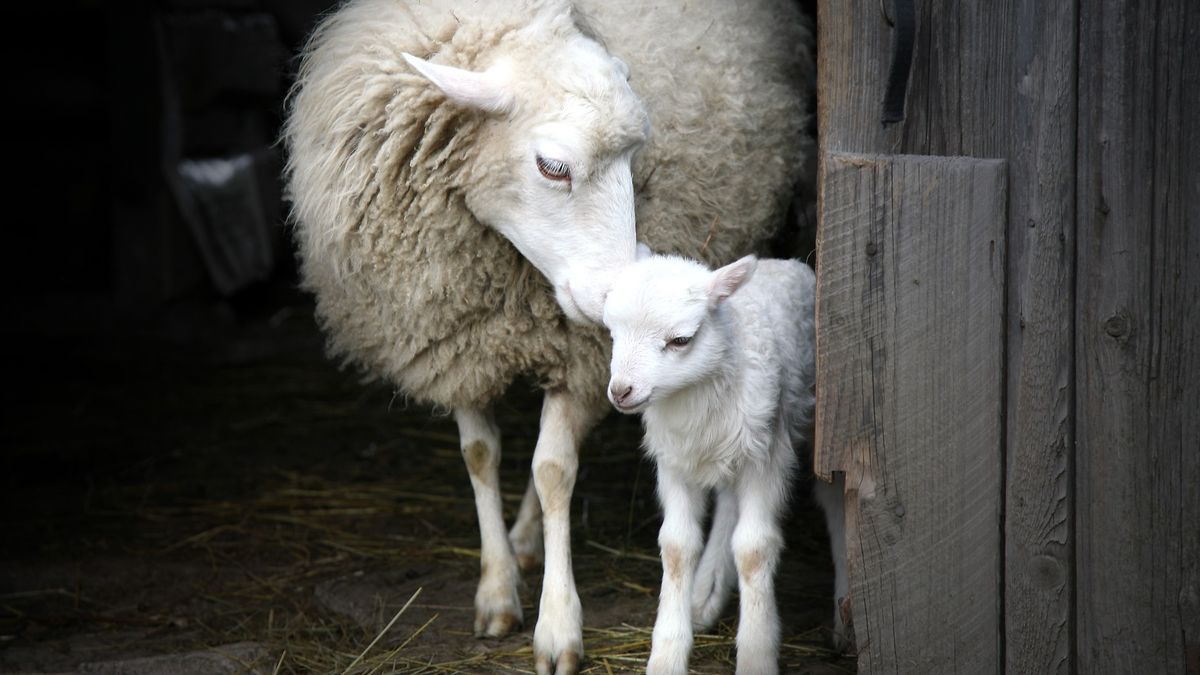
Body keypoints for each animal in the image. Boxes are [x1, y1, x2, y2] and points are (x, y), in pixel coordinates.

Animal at [284, 2, 811, 667]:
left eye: (636, 161)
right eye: (553, 167)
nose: (615, 300)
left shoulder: (579, 357)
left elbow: (555, 471)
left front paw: (558, 625)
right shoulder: (454, 340)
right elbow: (481, 455)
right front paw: (497, 589)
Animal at [604, 249, 849, 667]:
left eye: (680, 340)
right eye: (612, 333)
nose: (621, 391)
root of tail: (783, 262)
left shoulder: (767, 454)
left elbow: (753, 549)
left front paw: (756, 653)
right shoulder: (674, 460)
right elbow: (677, 546)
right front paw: (667, 654)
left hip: (817, 425)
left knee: (833, 498)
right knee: (730, 503)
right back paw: (705, 595)